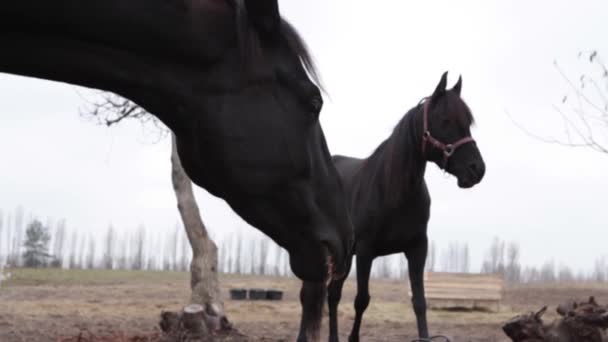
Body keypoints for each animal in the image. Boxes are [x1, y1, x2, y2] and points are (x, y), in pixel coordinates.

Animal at [296, 71, 486, 340]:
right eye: (445, 120)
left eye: (468, 122)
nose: (477, 169)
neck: (393, 193)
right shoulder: (366, 252)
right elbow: (361, 300)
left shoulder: (417, 249)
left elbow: (419, 302)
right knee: (310, 296)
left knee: (332, 295)